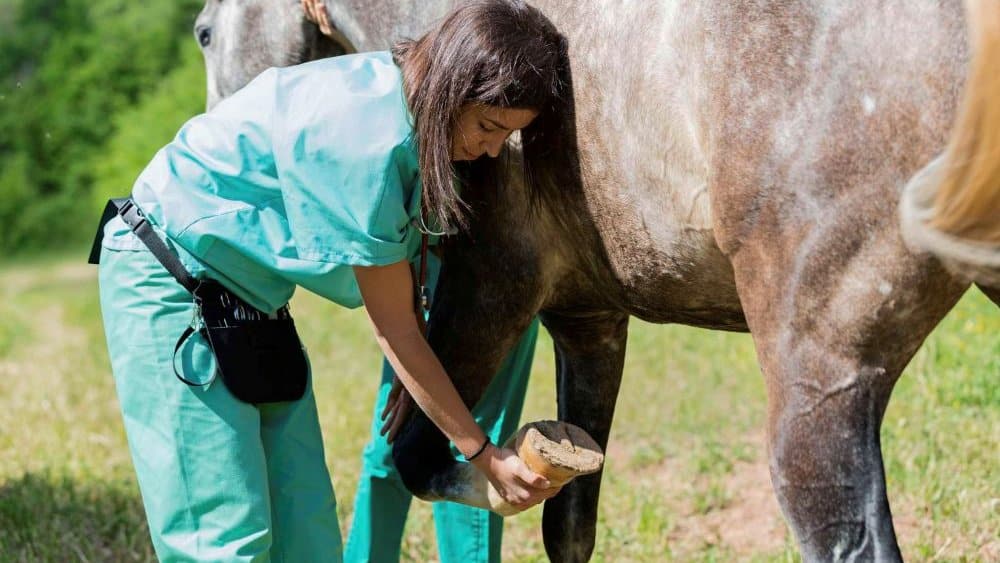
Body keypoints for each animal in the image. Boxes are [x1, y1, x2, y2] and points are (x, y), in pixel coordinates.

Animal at [195, 1, 999, 561]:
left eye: (202, 31)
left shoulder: (489, 293)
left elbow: (422, 457)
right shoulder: (589, 326)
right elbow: (569, 519)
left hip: (818, 384)